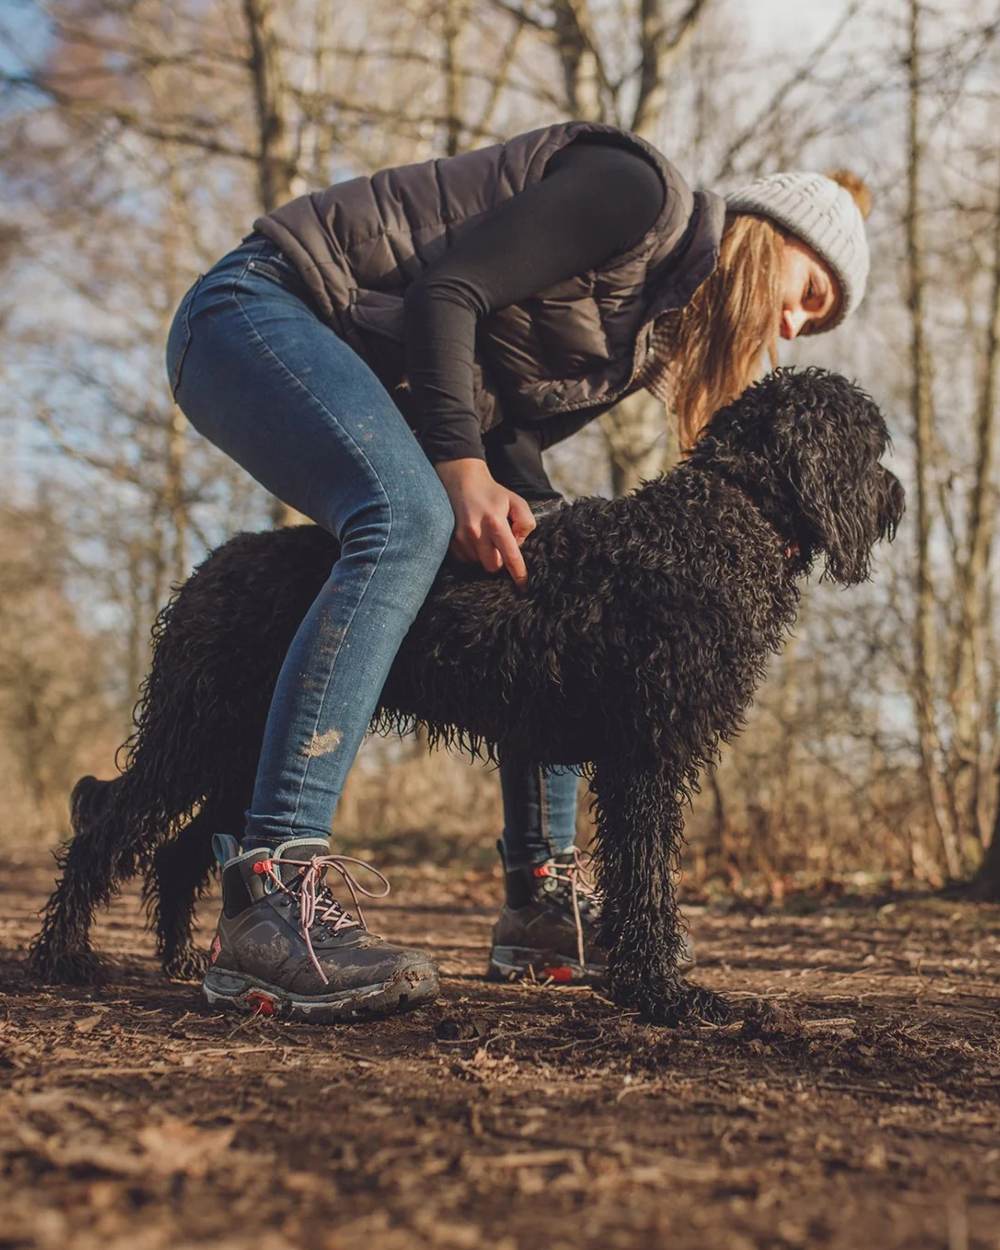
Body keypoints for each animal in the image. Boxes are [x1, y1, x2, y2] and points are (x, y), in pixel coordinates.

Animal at [29, 365, 905, 1025]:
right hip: (196, 733)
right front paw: (662, 993)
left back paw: (183, 959)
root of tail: (212, 564)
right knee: (107, 823)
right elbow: (649, 880)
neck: (726, 514)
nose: (898, 496)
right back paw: (63, 955)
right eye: (871, 444)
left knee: (182, 847)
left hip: (240, 748)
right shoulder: (646, 757)